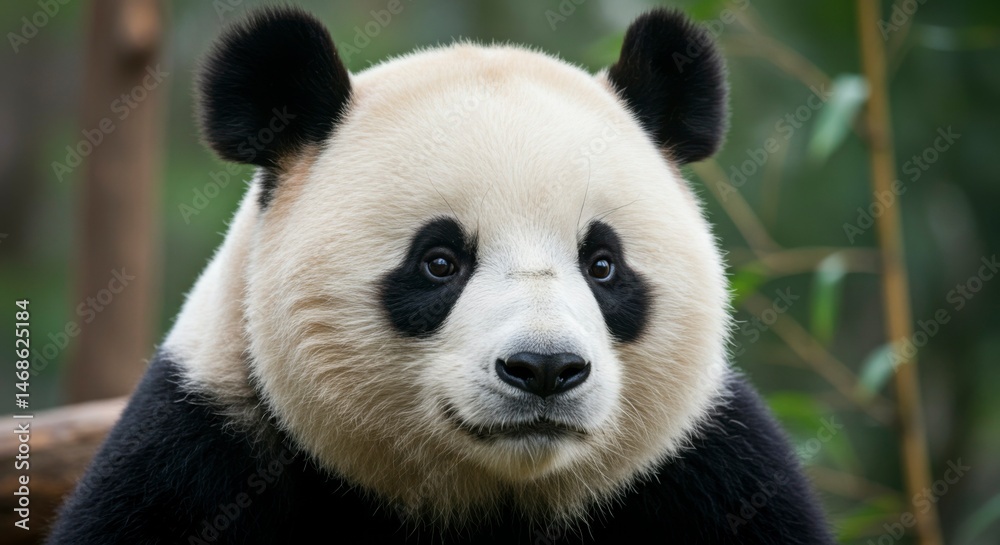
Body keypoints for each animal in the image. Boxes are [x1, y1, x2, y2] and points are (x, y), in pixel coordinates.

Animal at [48, 6, 835, 544]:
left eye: (603, 264)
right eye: (440, 262)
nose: (544, 368)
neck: (491, 498)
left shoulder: (708, 472)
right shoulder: (205, 455)